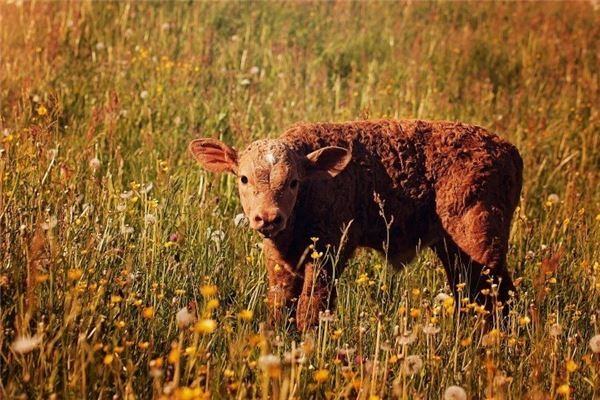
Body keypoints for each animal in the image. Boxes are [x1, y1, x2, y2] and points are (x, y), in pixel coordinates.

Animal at [190, 119, 524, 332]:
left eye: (294, 182)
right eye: (243, 178)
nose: (269, 218)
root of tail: (509, 150)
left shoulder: (329, 253)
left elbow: (311, 309)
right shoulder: (280, 262)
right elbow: (279, 307)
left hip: (480, 241)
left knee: (500, 297)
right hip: (453, 248)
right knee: (471, 294)